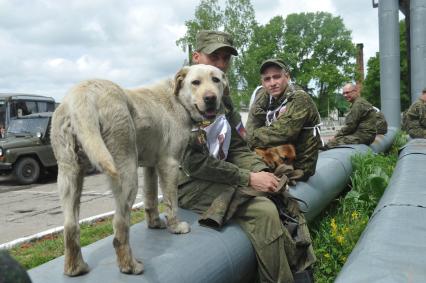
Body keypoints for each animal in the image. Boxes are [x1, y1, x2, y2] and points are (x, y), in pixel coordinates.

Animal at [50, 64, 226, 278]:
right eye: (196, 82)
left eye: (216, 80)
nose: (210, 98)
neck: (177, 100)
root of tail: (81, 95)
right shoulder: (169, 163)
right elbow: (171, 201)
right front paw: (175, 227)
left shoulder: (150, 165)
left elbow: (151, 198)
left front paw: (155, 223)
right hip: (126, 170)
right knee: (119, 225)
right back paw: (130, 266)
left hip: (69, 173)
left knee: (70, 226)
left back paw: (75, 269)